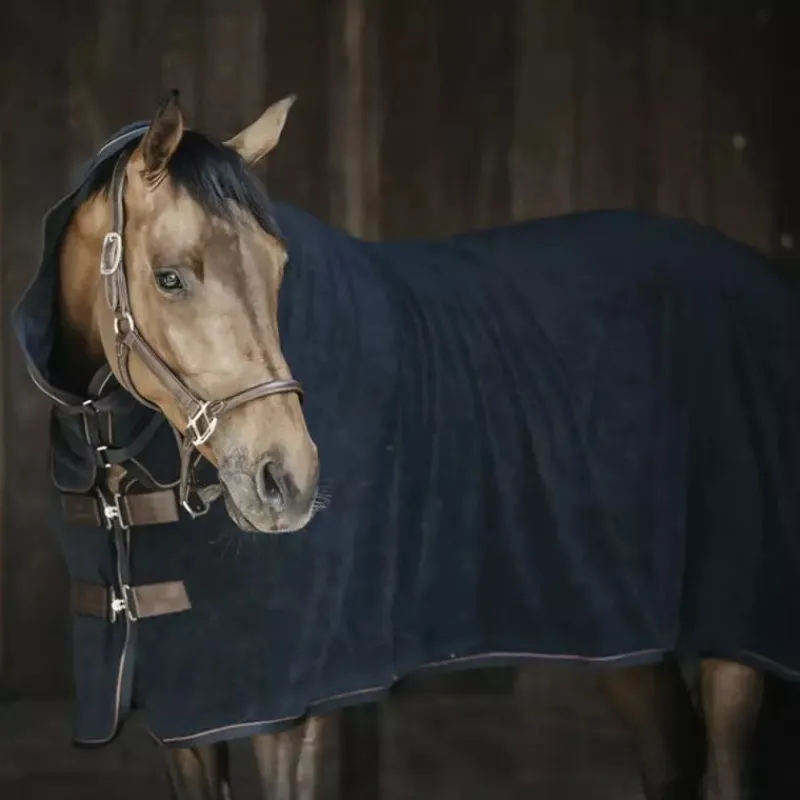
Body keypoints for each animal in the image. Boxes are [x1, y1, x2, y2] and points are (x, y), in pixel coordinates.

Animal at [13, 89, 800, 800]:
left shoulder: (292, 708)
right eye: (169, 277)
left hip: (735, 641)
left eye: (279, 267)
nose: (287, 480)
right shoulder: (186, 724)